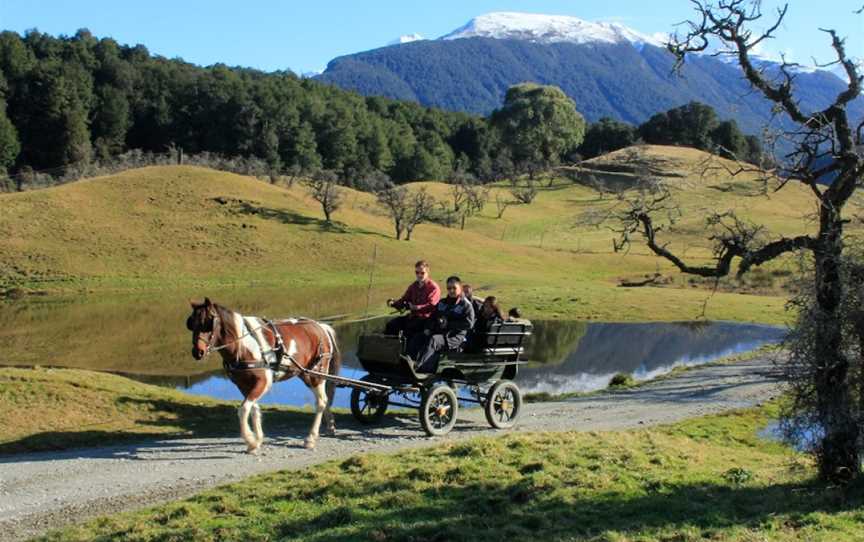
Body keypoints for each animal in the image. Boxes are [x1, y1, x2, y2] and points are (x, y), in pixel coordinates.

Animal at [186, 300, 340, 452]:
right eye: (191, 324)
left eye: (208, 323)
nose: (197, 352)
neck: (243, 345)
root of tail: (320, 326)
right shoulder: (243, 385)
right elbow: (253, 408)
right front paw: (257, 439)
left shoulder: (264, 382)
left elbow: (243, 409)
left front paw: (250, 440)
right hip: (305, 374)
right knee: (324, 400)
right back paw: (330, 426)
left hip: (317, 375)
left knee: (321, 402)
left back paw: (311, 438)